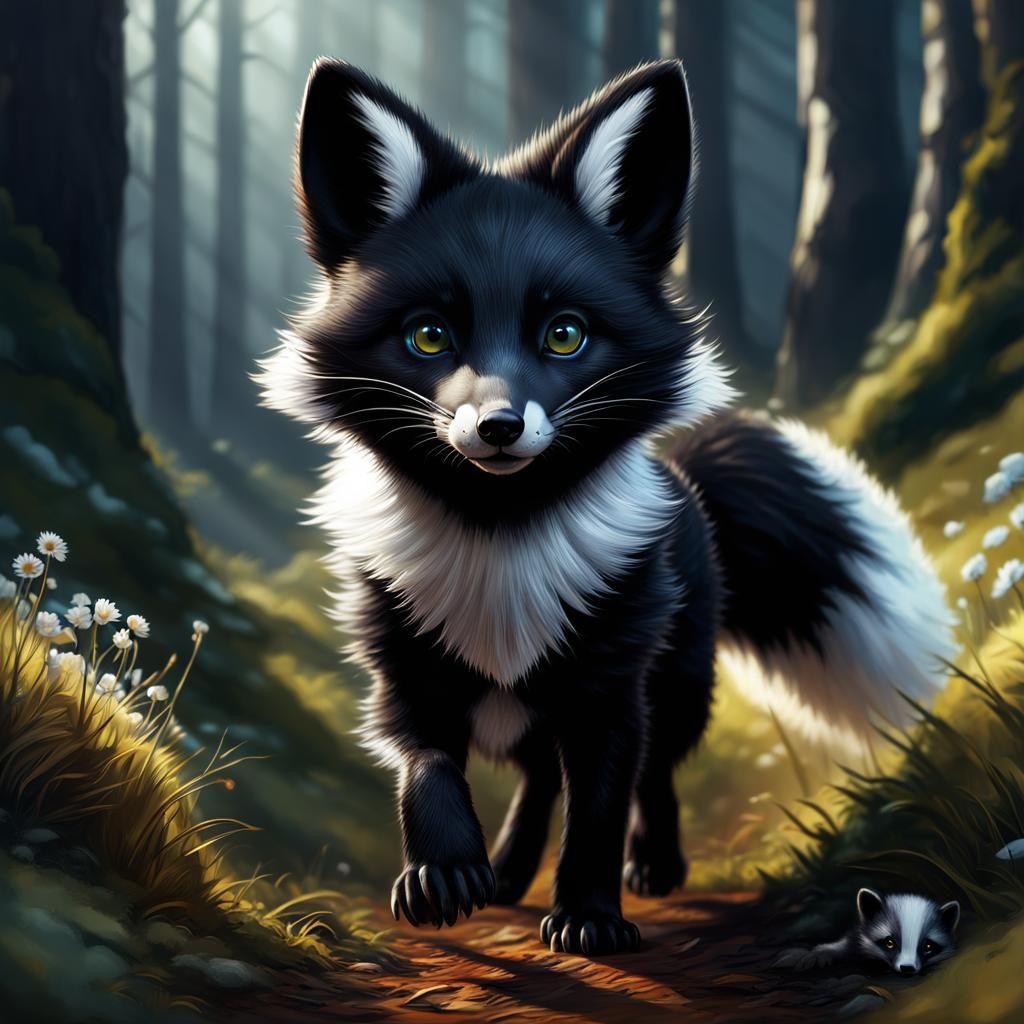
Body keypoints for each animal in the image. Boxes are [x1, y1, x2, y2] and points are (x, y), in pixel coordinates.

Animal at [258, 58, 956, 956]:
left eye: (564, 335)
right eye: (427, 337)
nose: (498, 426)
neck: (501, 544)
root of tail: (685, 476)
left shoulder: (610, 687)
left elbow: (599, 803)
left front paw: (590, 915)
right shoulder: (401, 665)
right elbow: (427, 769)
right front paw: (444, 874)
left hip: (680, 680)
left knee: (647, 772)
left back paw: (651, 865)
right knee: (535, 779)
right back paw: (506, 871)